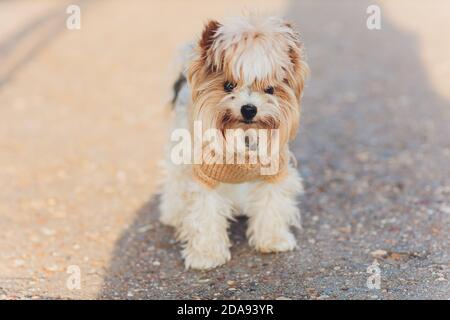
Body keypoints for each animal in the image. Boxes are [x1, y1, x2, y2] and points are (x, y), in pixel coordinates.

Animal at [159, 15, 310, 270]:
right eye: (228, 86)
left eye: (270, 89)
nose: (249, 109)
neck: (243, 134)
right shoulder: (205, 175)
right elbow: (205, 213)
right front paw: (206, 254)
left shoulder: (273, 171)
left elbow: (272, 203)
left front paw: (273, 239)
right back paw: (173, 214)